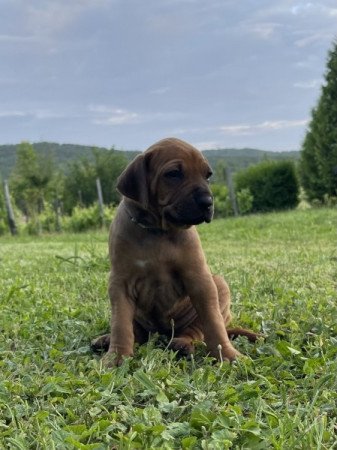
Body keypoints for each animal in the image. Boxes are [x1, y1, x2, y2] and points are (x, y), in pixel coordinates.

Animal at [92, 137, 258, 366]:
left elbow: (213, 323)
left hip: (219, 285)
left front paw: (228, 354)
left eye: (207, 176)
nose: (208, 202)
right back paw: (106, 340)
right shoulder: (120, 283)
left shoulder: (200, 280)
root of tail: (162, 334)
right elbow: (121, 324)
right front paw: (116, 356)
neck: (158, 231)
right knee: (137, 332)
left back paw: (181, 344)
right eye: (173, 174)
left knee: (196, 331)